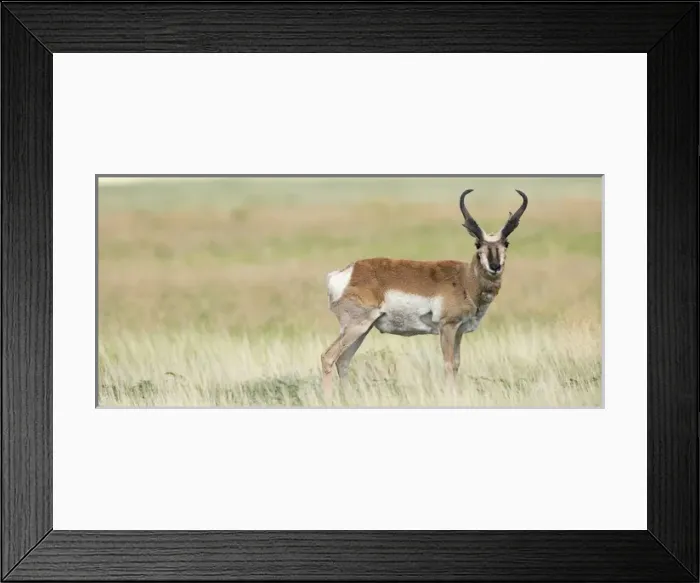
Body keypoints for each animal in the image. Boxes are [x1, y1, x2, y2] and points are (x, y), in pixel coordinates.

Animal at [321, 188, 529, 395]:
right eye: (478, 244)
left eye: (506, 243)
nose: (495, 266)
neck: (465, 278)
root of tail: (347, 272)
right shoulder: (447, 327)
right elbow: (448, 364)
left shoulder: (459, 331)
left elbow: (456, 364)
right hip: (356, 326)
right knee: (328, 357)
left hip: (363, 329)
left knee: (343, 361)